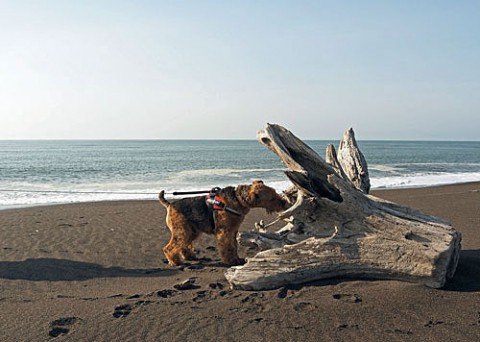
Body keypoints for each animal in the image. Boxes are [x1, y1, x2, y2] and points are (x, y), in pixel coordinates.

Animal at [158, 180, 286, 266]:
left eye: (275, 192)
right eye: (271, 198)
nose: (284, 203)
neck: (238, 199)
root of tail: (170, 205)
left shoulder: (233, 230)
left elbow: (234, 246)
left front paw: (237, 259)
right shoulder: (225, 231)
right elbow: (228, 246)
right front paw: (231, 261)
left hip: (191, 231)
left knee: (184, 245)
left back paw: (190, 256)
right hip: (182, 231)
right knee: (169, 247)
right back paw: (175, 261)